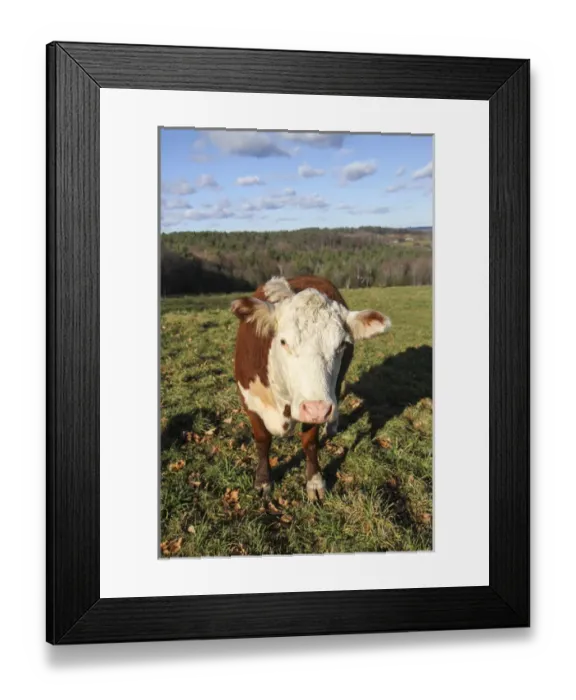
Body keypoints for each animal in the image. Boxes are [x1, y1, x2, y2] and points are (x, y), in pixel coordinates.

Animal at [232, 275, 391, 500]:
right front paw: (263, 480)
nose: (318, 409)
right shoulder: (250, 402)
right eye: (283, 341)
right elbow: (262, 440)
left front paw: (314, 482)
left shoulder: (317, 402)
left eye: (342, 344)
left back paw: (331, 427)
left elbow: (309, 442)